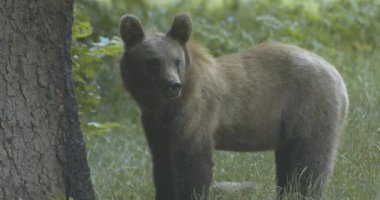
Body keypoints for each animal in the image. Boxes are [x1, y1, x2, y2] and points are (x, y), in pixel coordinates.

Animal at [118, 13, 348, 199]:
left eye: (176, 61)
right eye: (153, 62)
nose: (173, 85)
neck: (160, 104)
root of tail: (337, 74)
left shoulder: (195, 115)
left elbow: (194, 165)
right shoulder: (155, 124)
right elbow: (163, 165)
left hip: (310, 105)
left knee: (311, 160)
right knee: (287, 164)